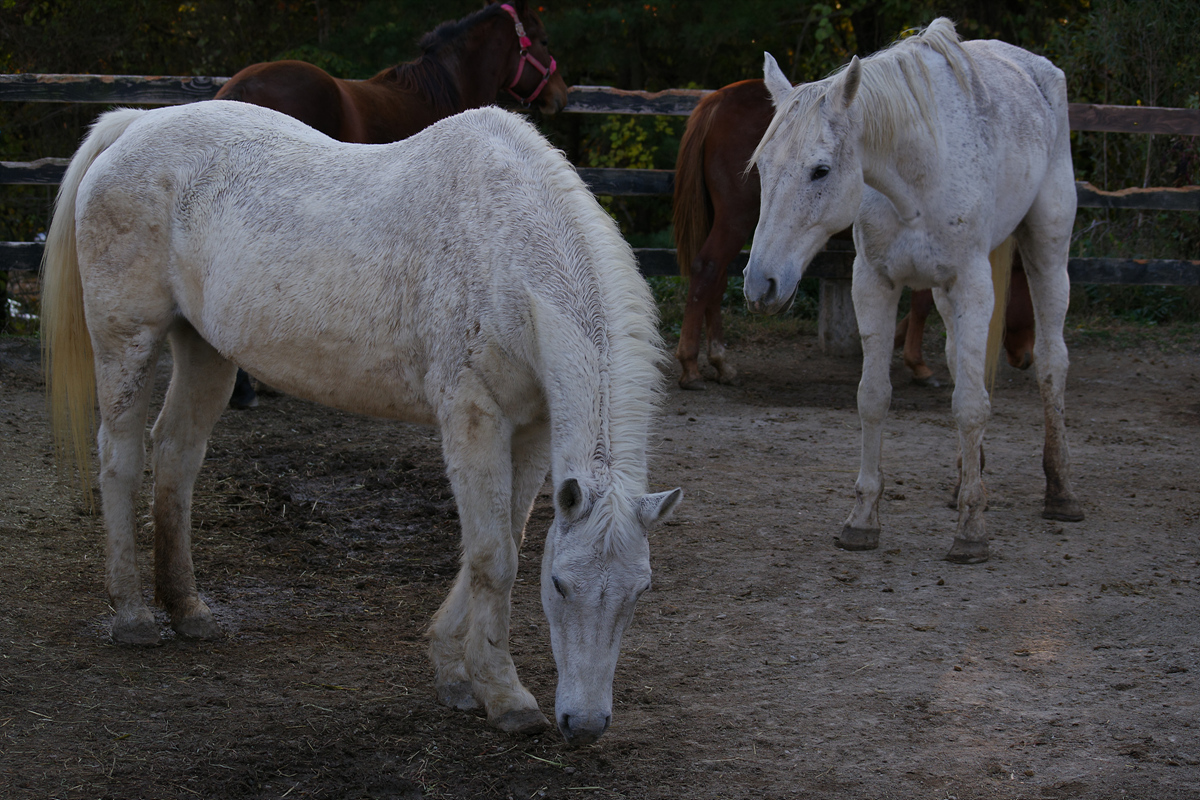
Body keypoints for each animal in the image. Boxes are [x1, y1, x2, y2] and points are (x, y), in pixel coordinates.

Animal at [39, 101, 681, 746]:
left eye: (641, 590)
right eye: (560, 585)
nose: (586, 723)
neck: (506, 252)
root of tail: (138, 123)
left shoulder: (531, 432)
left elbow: (504, 543)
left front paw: (454, 672)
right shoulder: (473, 418)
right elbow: (493, 557)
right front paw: (505, 696)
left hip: (206, 351)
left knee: (176, 453)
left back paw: (187, 609)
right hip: (126, 342)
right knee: (121, 458)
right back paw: (132, 616)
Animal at [672, 78, 1036, 390]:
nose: (1026, 358)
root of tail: (716, 100)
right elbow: (921, 304)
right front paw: (917, 364)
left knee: (718, 278)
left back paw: (720, 362)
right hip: (736, 220)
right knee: (707, 268)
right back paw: (691, 366)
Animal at [744, 18, 1083, 563]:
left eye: (820, 170)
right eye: (762, 168)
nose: (761, 284)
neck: (914, 177)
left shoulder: (972, 284)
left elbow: (970, 405)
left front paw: (971, 531)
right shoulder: (874, 284)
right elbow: (874, 397)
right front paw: (862, 520)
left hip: (1047, 248)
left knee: (1052, 362)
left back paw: (1061, 491)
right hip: (945, 293)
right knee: (962, 364)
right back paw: (968, 479)